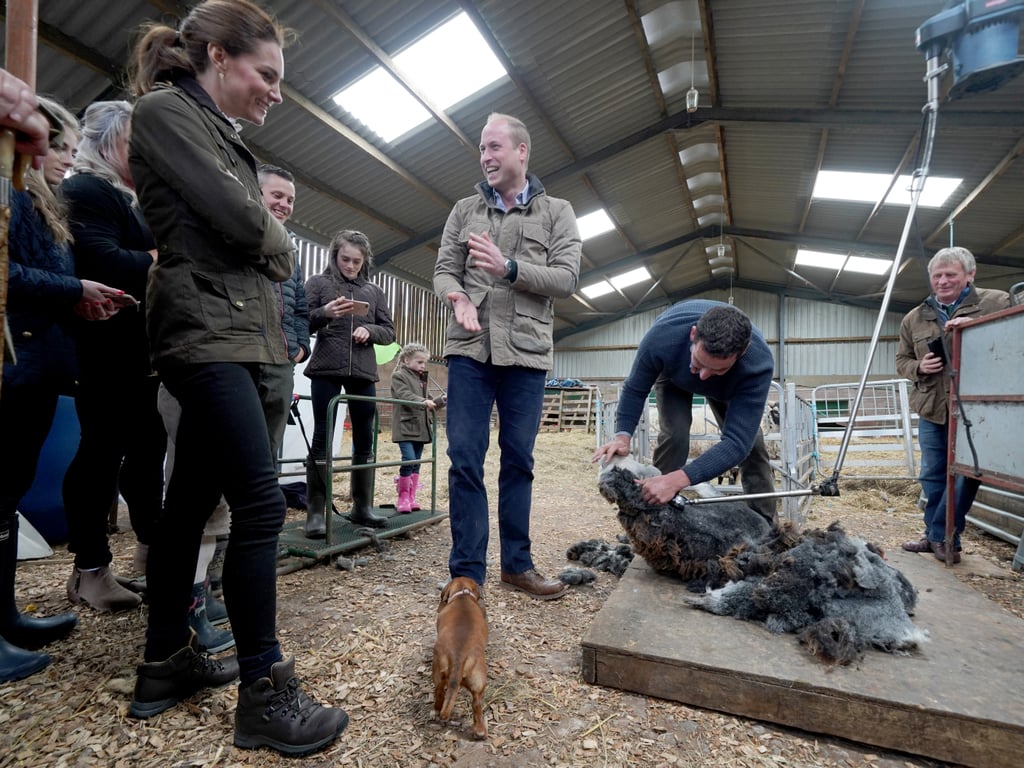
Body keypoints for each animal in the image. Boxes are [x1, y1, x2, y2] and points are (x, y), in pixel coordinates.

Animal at [432, 577, 487, 741]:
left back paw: (436, 709)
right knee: (477, 705)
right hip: (478, 684)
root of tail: (459, 657)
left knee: (439, 692)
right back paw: (480, 732)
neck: (462, 595)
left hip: (438, 674)